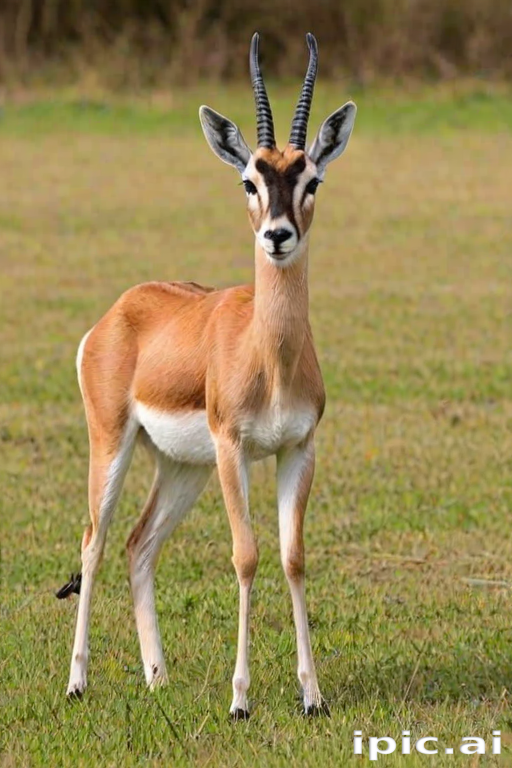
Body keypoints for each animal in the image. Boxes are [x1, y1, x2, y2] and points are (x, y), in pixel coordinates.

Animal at [58, 32, 356, 719]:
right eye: (250, 180)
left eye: (312, 179)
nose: (278, 235)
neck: (269, 356)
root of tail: (118, 311)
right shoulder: (232, 449)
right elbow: (246, 557)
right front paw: (241, 699)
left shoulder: (299, 449)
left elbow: (293, 557)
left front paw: (312, 695)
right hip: (113, 446)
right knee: (94, 541)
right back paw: (78, 682)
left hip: (180, 467)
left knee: (139, 545)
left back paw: (157, 677)